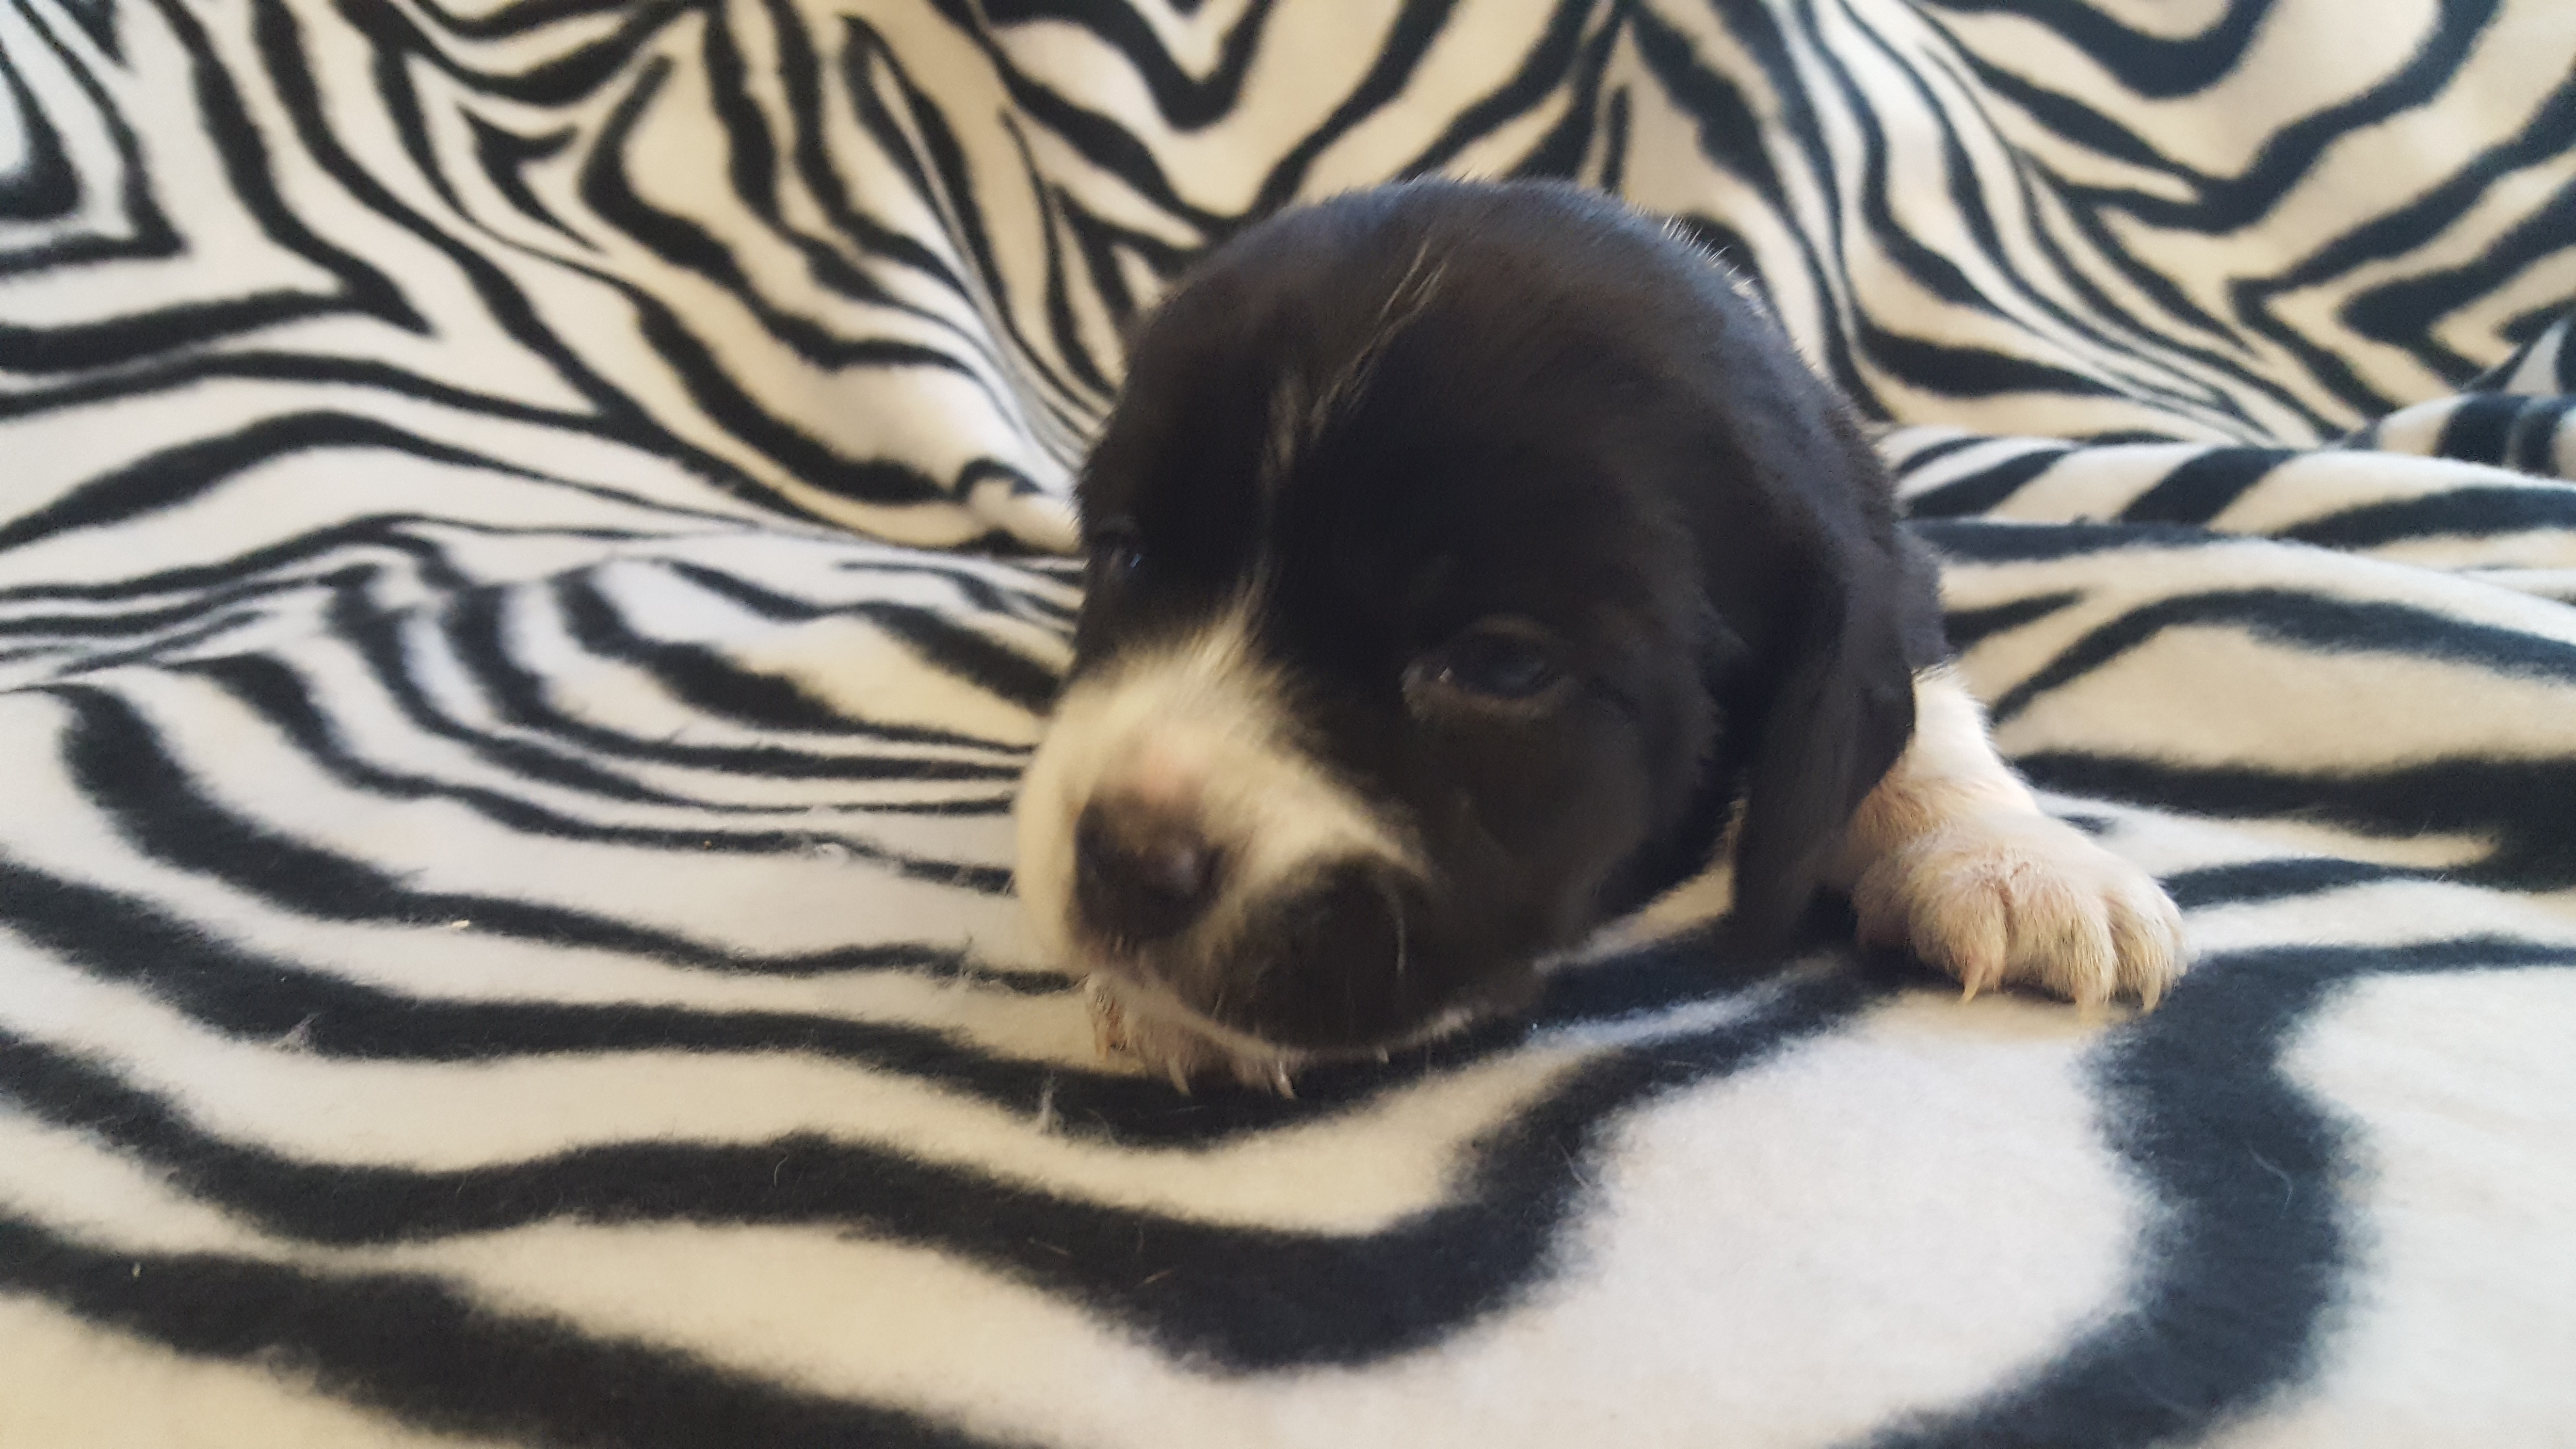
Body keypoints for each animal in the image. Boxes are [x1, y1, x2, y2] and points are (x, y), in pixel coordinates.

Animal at [1014, 180, 2186, 1092]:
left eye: (1503, 666)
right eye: (1124, 558)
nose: (1126, 863)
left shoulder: (1880, 560)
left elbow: (1919, 703)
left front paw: (2014, 859)